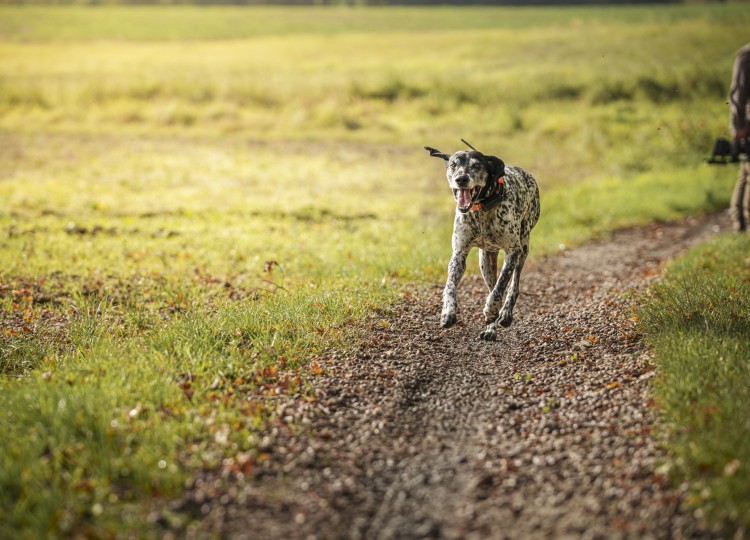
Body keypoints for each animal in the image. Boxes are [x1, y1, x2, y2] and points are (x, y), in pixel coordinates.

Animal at [424, 141, 540, 340]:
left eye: (477, 165)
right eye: (454, 164)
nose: (461, 179)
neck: (481, 210)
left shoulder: (513, 251)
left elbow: (501, 285)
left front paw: (492, 309)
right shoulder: (459, 254)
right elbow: (449, 286)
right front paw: (448, 312)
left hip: (523, 248)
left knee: (513, 285)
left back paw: (504, 313)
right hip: (485, 260)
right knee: (491, 285)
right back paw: (490, 329)